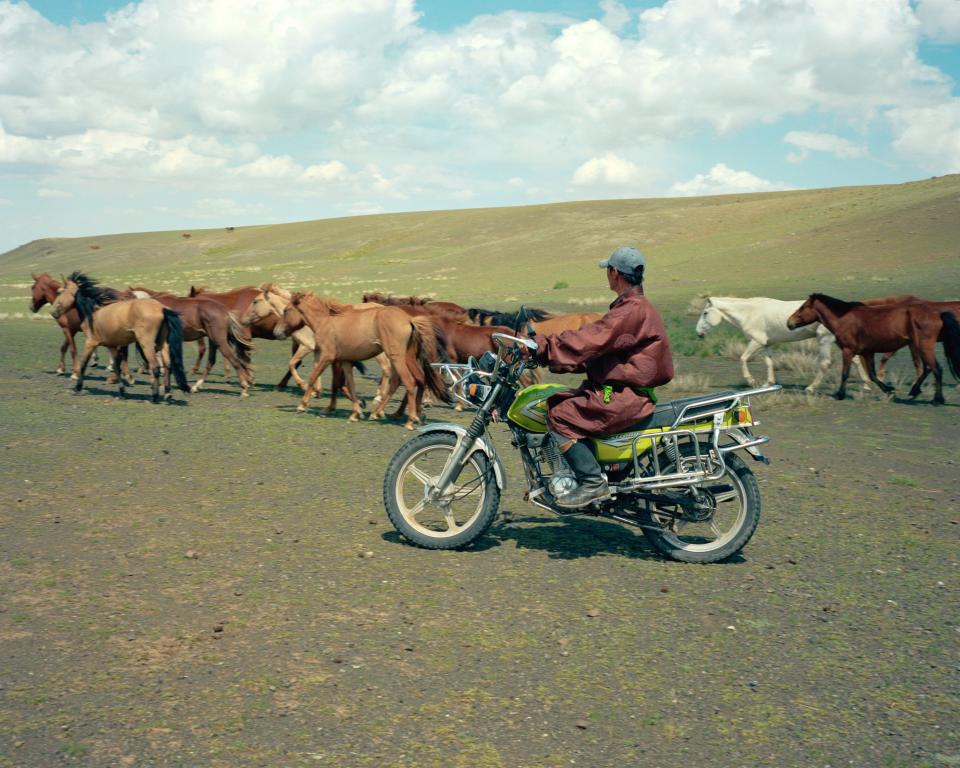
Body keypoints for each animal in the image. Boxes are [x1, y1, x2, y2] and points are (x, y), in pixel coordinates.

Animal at [49, 270, 191, 402]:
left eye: (60, 292)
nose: (53, 313)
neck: (93, 312)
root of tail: (161, 308)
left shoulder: (90, 342)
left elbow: (83, 364)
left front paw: (77, 388)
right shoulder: (112, 346)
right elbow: (117, 368)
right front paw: (122, 392)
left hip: (147, 344)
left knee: (155, 367)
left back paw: (154, 397)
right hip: (162, 344)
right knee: (168, 366)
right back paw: (167, 393)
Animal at [278, 292, 450, 428]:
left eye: (286, 310)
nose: (278, 332)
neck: (325, 321)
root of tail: (409, 320)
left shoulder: (327, 357)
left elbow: (313, 377)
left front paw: (302, 405)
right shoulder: (345, 361)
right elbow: (350, 385)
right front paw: (355, 413)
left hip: (396, 357)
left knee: (408, 381)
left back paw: (409, 420)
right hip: (407, 357)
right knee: (417, 379)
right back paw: (397, 414)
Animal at [692, 296, 872, 392]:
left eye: (705, 313)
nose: (698, 333)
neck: (749, 313)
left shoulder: (756, 342)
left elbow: (743, 359)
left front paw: (752, 382)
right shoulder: (766, 344)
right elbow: (768, 363)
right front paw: (768, 383)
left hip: (825, 340)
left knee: (825, 363)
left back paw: (811, 388)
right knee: (855, 360)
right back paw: (866, 385)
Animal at [788, 292, 960, 404]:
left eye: (803, 307)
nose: (789, 323)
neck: (844, 319)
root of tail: (938, 314)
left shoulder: (848, 350)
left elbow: (845, 373)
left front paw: (839, 394)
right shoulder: (867, 352)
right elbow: (872, 375)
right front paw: (890, 391)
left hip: (923, 346)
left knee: (936, 369)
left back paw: (937, 399)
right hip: (919, 346)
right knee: (928, 368)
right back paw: (915, 392)